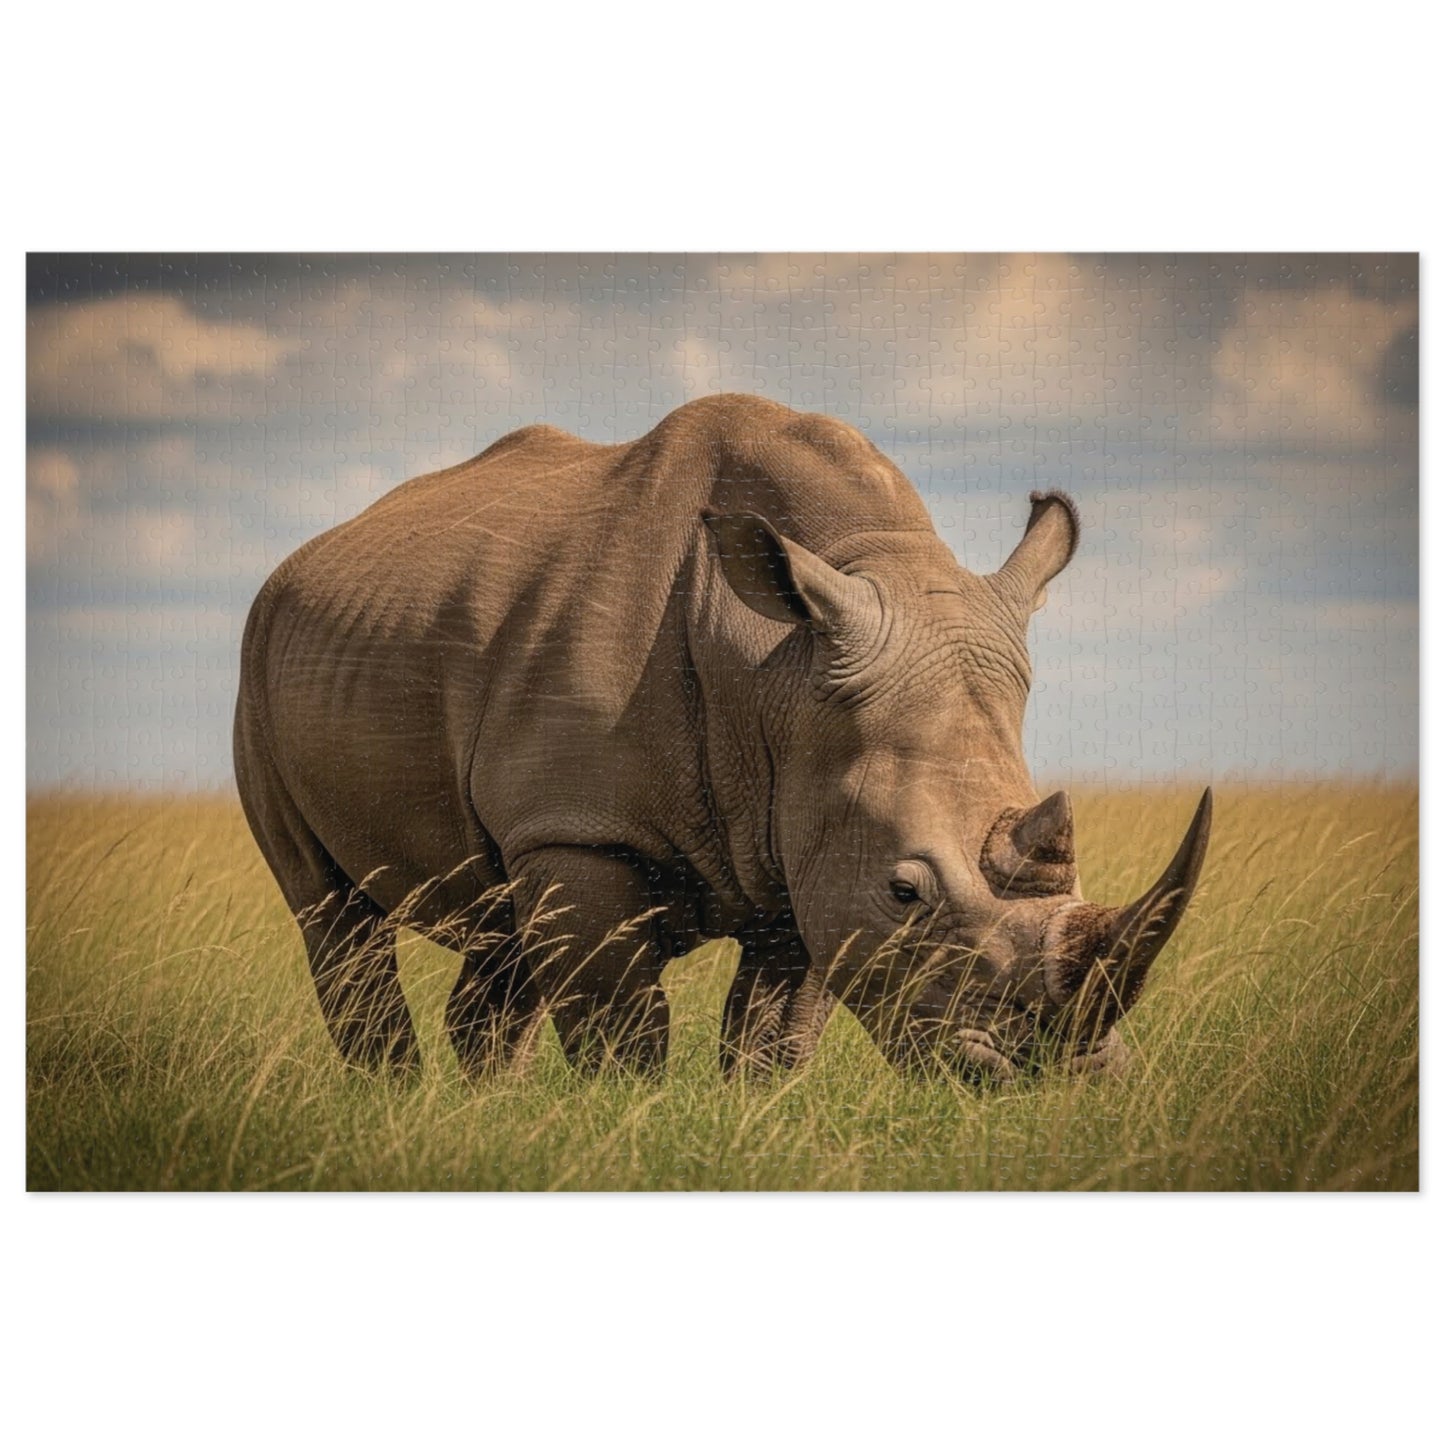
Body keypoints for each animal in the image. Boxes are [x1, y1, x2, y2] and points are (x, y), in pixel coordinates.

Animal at [234, 393, 1210, 1082]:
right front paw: (624, 1123)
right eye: (904, 892)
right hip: (259, 659)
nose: (1065, 1073)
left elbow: (773, 1035)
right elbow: (621, 1031)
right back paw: (395, 1099)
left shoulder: (804, 843)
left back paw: (479, 1109)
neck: (778, 671)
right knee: (334, 920)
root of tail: (309, 556)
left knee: (499, 930)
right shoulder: (581, 828)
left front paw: (751, 1117)